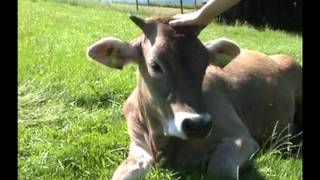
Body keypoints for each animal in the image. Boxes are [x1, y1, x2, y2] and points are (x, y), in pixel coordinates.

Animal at [86, 16, 302, 179]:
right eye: (155, 65)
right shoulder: (138, 144)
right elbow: (123, 172)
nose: (199, 125)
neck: (163, 147)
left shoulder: (242, 137)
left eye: (205, 64)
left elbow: (220, 168)